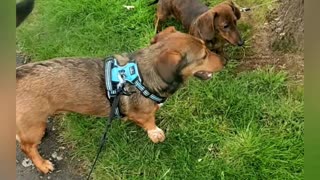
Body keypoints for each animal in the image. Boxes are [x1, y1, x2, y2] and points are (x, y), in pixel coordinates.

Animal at [15, 26, 225, 174]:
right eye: (204, 55)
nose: (224, 61)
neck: (141, 76)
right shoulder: (143, 115)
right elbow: (150, 123)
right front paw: (155, 133)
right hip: (34, 126)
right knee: (27, 147)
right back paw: (42, 165)